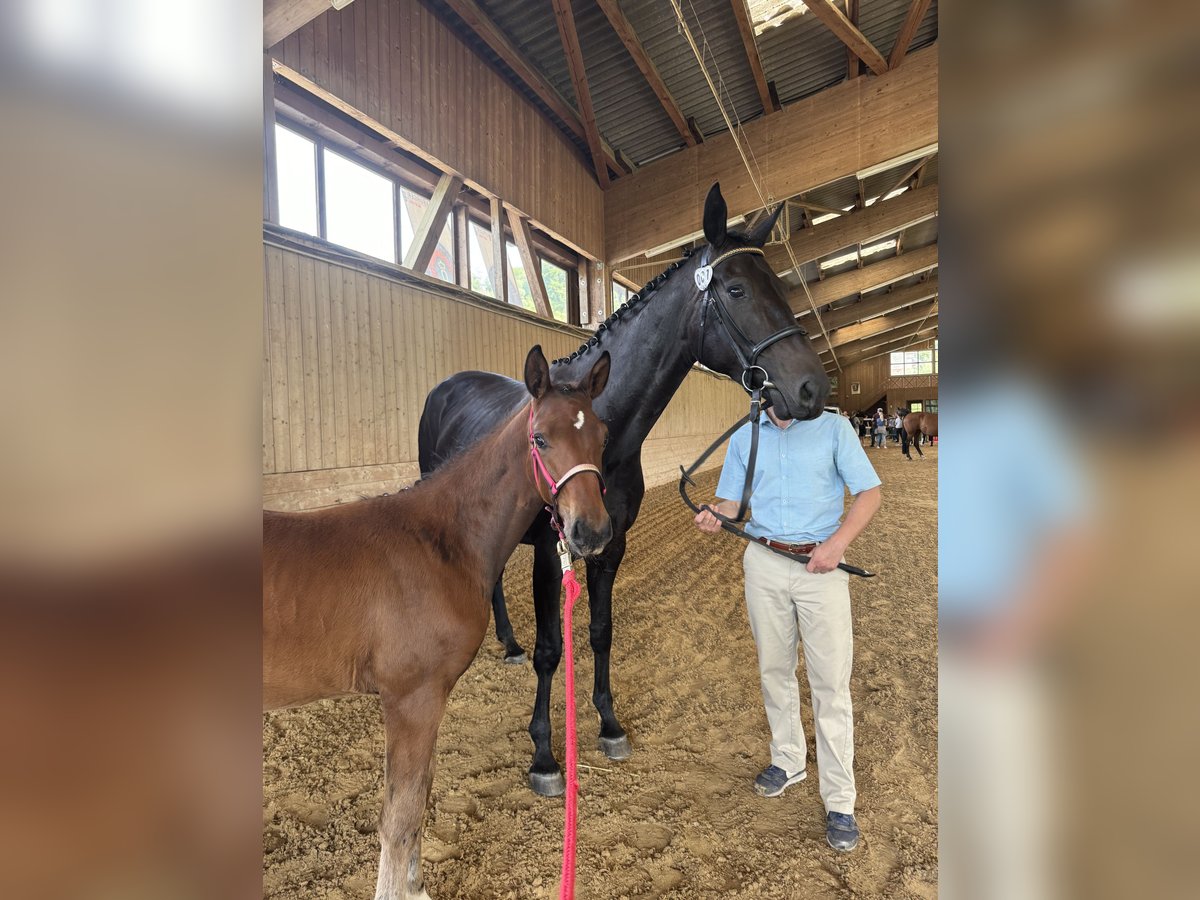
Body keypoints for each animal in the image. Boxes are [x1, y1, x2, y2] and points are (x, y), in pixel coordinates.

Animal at [266, 348, 614, 900]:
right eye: (540, 438)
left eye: (601, 436)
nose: (592, 533)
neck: (438, 541)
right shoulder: (412, 697)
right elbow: (401, 815)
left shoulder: (429, 700)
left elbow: (419, 799)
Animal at [417, 184, 830, 796]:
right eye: (736, 289)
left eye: (779, 285)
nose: (812, 389)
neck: (600, 426)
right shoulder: (552, 552)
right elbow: (552, 650)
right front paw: (544, 756)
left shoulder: (611, 546)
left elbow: (600, 632)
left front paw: (609, 726)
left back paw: (508, 644)